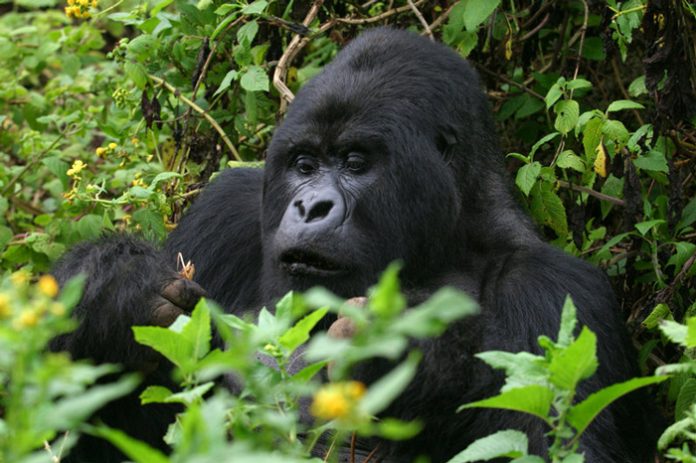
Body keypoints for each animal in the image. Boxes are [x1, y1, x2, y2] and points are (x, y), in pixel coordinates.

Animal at [51, 27, 660, 462]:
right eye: (304, 164)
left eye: (355, 163)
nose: (310, 207)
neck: (447, 240)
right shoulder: (224, 210)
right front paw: (116, 295)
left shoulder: (556, 290)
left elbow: (554, 441)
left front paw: (408, 356)